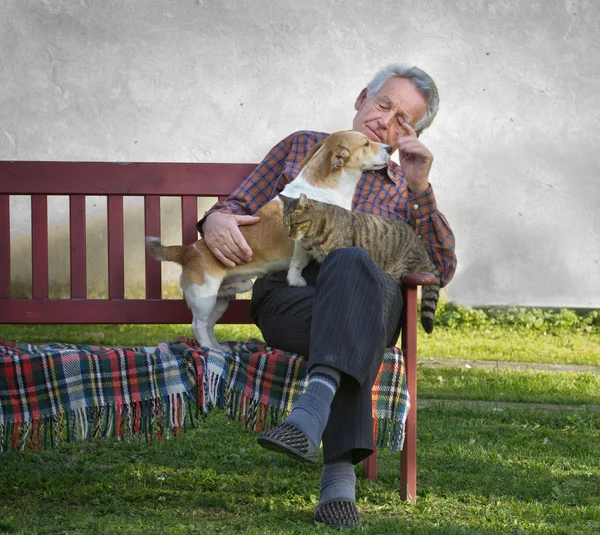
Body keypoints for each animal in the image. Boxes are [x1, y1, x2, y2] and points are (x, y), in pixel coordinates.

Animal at [146, 131, 394, 350]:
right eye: (366, 143)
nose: (391, 148)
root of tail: (188, 250)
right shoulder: (301, 242)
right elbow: (297, 265)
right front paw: (296, 281)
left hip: (221, 300)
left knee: (208, 325)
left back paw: (218, 348)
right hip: (203, 297)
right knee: (197, 325)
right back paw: (208, 348)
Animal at [282, 193, 440, 336]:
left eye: (294, 224)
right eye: (284, 225)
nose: (288, 236)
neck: (312, 237)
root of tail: (425, 253)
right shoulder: (305, 250)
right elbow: (297, 262)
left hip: (400, 267)